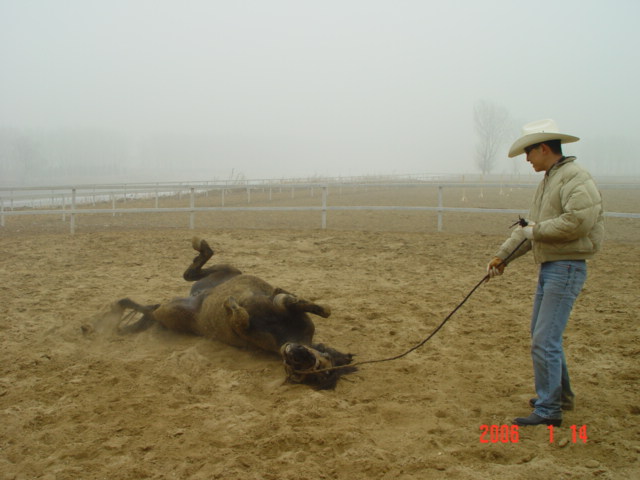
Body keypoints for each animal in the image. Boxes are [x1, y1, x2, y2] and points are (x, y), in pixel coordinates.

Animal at [115, 238, 356, 388]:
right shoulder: (288, 310)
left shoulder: (244, 329)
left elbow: (241, 317)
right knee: (192, 273)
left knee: (153, 309)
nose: (293, 353)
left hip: (171, 312)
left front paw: (230, 304)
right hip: (227, 271)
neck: (285, 333)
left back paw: (120, 315)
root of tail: (196, 296)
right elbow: (311, 306)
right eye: (322, 362)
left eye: (302, 373)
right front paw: (283, 294)